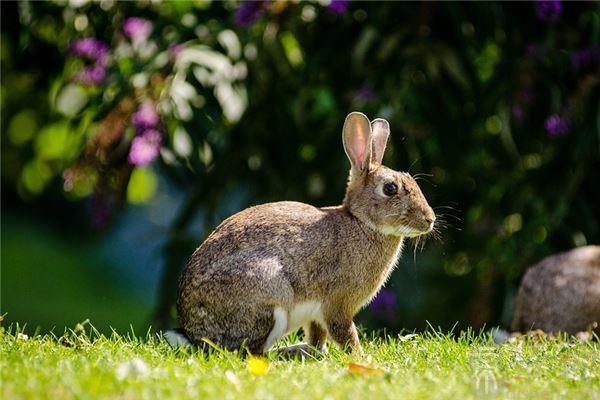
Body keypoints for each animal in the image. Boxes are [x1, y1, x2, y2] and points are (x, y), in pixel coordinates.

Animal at [176, 111, 434, 354]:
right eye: (390, 188)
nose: (430, 220)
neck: (361, 222)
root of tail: (193, 333)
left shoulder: (317, 314)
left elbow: (317, 334)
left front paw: (317, 352)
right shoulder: (337, 304)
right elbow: (344, 332)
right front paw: (360, 357)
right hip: (270, 294)